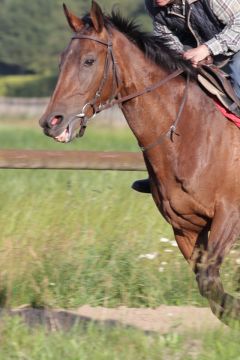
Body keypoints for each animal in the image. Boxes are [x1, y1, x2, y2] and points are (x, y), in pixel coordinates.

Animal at [39, 1, 240, 324]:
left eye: (89, 61)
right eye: (61, 60)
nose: (51, 122)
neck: (191, 132)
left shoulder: (229, 215)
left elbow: (210, 280)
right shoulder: (185, 228)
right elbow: (206, 284)